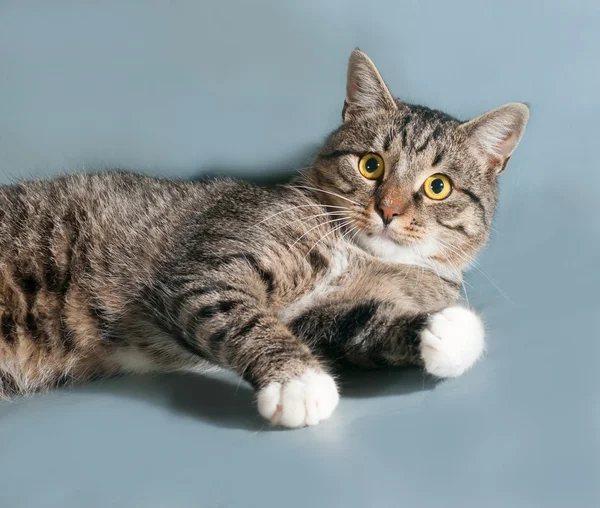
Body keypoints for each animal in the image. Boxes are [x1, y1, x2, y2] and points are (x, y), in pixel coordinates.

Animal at [0, 49, 524, 426]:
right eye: (371, 164)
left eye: (438, 187)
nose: (388, 210)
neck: (358, 256)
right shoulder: (205, 273)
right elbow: (249, 321)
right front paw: (298, 384)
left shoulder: (321, 319)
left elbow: (364, 325)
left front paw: (451, 332)